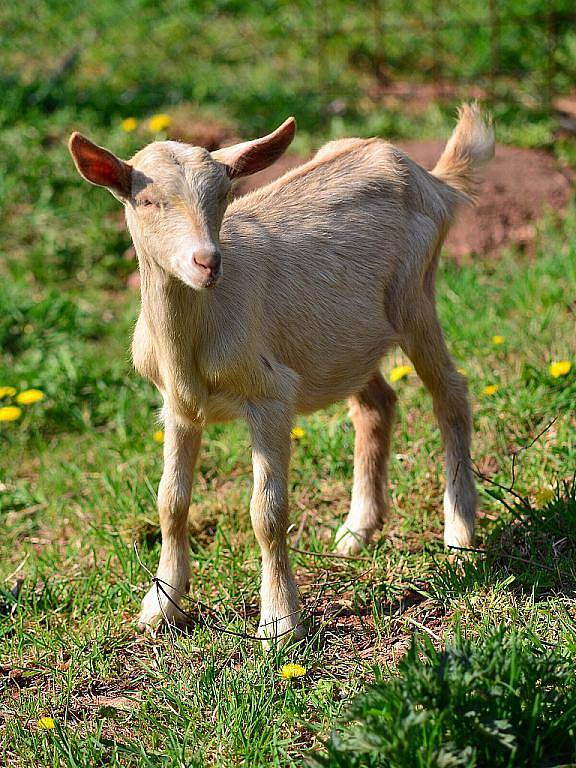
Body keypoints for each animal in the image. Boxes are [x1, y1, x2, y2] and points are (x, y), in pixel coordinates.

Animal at [70, 102, 496, 640]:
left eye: (223, 195)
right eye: (146, 200)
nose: (207, 262)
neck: (193, 336)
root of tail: (431, 178)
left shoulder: (271, 396)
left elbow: (267, 511)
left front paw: (278, 622)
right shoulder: (178, 407)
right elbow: (171, 501)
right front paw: (160, 607)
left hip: (415, 299)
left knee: (451, 394)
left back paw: (459, 532)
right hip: (343, 342)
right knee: (376, 404)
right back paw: (357, 530)